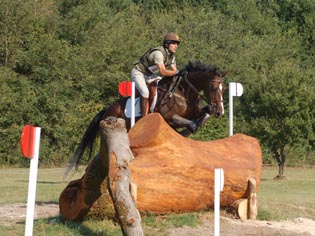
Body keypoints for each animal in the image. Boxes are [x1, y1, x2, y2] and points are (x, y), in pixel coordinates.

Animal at [66, 60, 227, 172]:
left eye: (224, 88)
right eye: (213, 87)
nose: (220, 111)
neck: (183, 93)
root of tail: (106, 110)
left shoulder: (195, 111)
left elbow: (204, 115)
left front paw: (185, 133)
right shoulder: (169, 118)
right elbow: (191, 124)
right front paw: (184, 132)